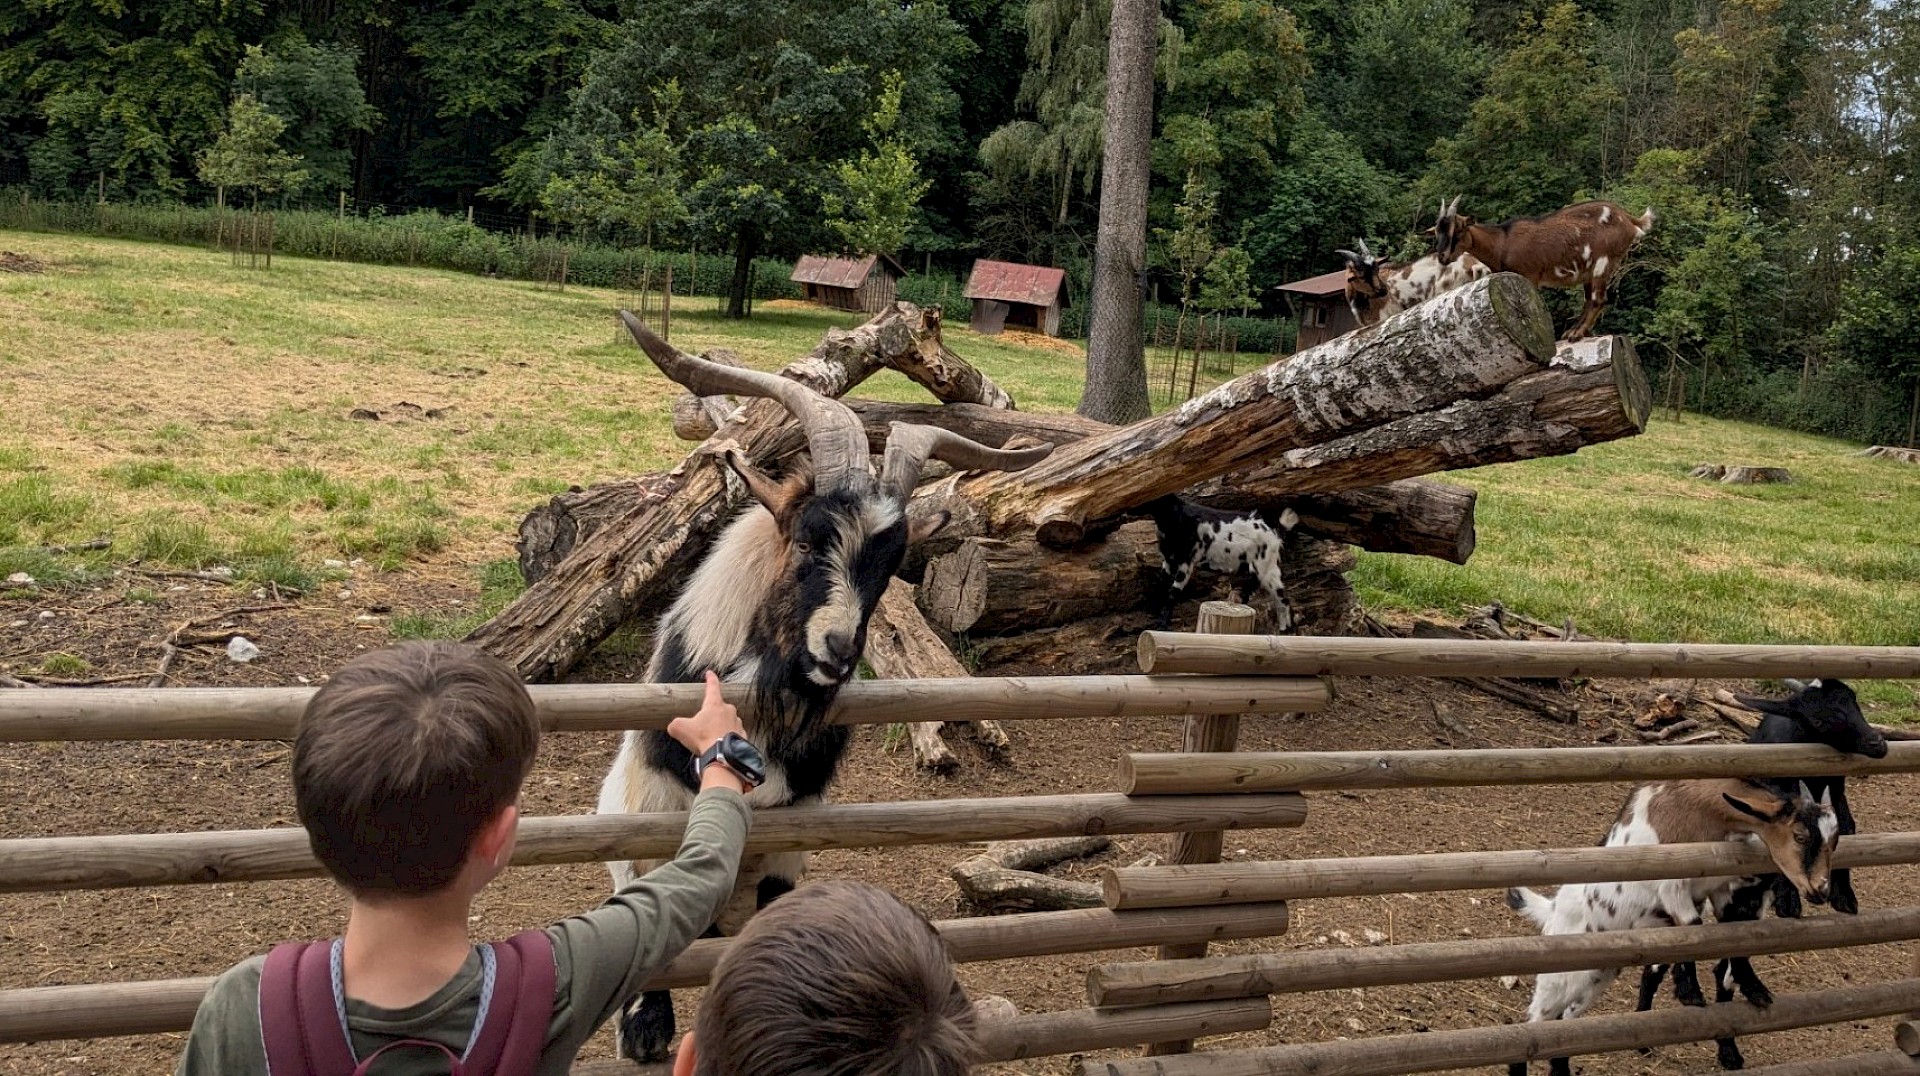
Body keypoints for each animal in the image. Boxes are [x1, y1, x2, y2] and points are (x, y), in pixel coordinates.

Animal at [599, 315, 1052, 1060]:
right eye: (809, 539)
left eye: (890, 563)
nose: (838, 653)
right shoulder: (650, 812)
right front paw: (644, 1028)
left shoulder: (792, 844)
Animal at [1443, 195, 1651, 340]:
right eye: (1438, 231)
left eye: (1459, 230)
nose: (1443, 256)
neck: (1502, 242)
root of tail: (1631, 220)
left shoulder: (1529, 275)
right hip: (1589, 270)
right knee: (1589, 300)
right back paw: (1573, 332)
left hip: (1602, 261)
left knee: (1598, 300)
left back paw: (1576, 334)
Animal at [1505, 776, 1835, 1076]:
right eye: (1800, 836)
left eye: (1834, 841)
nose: (1821, 891)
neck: (1696, 811)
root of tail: (1553, 908)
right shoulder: (1673, 887)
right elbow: (1694, 925)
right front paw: (1690, 992)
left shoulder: (1720, 890)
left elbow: (1731, 937)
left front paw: (1755, 990)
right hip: (1560, 975)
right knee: (1534, 1022)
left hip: (1596, 976)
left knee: (1565, 1022)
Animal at [1635, 676, 1889, 1068]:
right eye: (1820, 717)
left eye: (1855, 701)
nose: (1878, 743)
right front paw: (1790, 901)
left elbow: (1847, 827)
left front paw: (1844, 897)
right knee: (1668, 961)